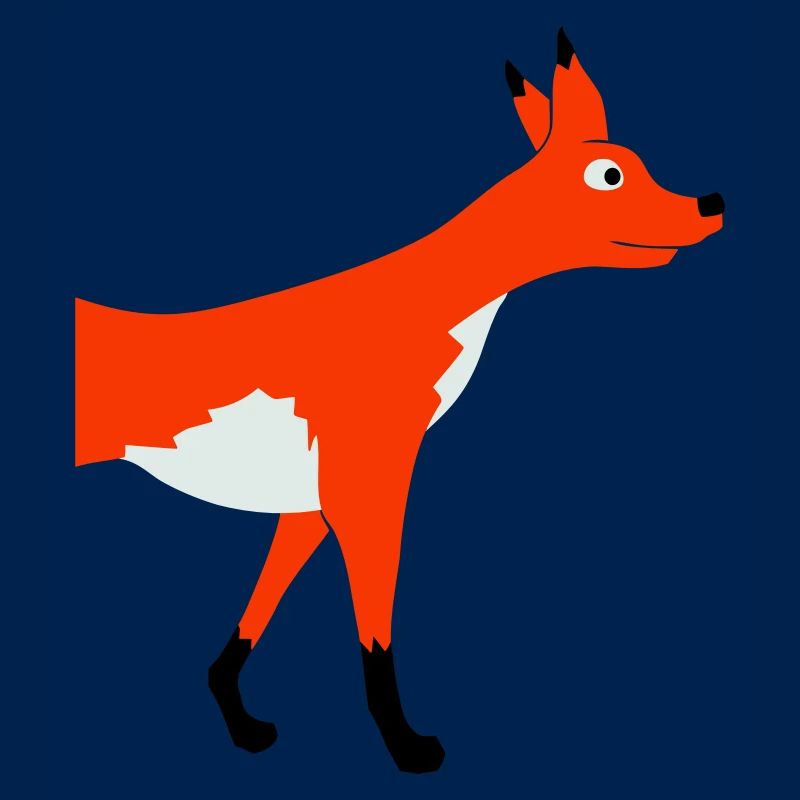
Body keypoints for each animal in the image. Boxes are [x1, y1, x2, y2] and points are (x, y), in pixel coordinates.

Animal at [74, 29, 724, 773]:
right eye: (610, 175)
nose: (710, 202)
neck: (418, 306)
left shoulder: (310, 504)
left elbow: (253, 619)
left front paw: (237, 718)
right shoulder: (369, 491)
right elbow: (375, 636)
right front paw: (404, 745)